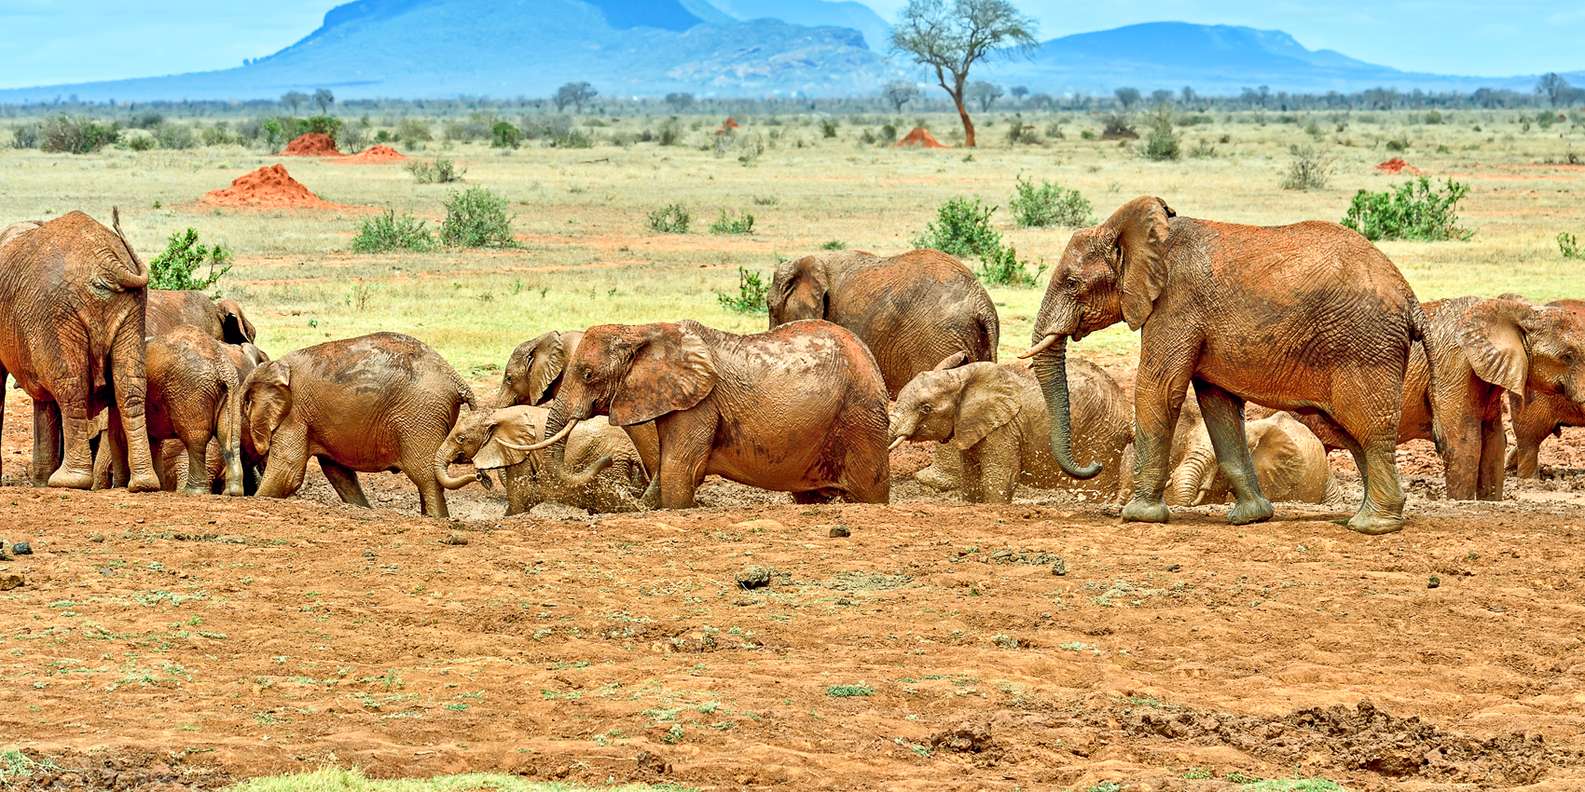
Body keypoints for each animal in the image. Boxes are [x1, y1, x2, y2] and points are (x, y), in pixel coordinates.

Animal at [0, 210, 160, 491]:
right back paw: (144, 483)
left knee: (71, 387)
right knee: (129, 386)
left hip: (58, 312)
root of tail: (105, 259)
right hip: (133, 308)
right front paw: (40, 482)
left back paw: (68, 480)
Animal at [241, 332, 475, 517]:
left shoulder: (294, 413)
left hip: (421, 415)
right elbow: (340, 474)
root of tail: (455, 378)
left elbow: (288, 472)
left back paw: (438, 519)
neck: (272, 367)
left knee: (425, 475)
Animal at [435, 404, 649, 514]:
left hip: (612, 464)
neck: (496, 414)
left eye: (461, 439)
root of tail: (632, 452)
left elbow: (519, 493)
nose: (482, 478)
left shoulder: (520, 451)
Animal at [526, 319, 891, 508]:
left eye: (588, 375)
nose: (608, 461)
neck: (642, 331)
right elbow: (667, 467)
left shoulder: (700, 404)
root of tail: (870, 359)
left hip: (860, 417)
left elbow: (678, 469)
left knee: (871, 491)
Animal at [889, 356, 1130, 502]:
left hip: (1101, 436)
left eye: (926, 408)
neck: (961, 377)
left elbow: (1000, 477)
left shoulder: (1004, 429)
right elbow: (971, 479)